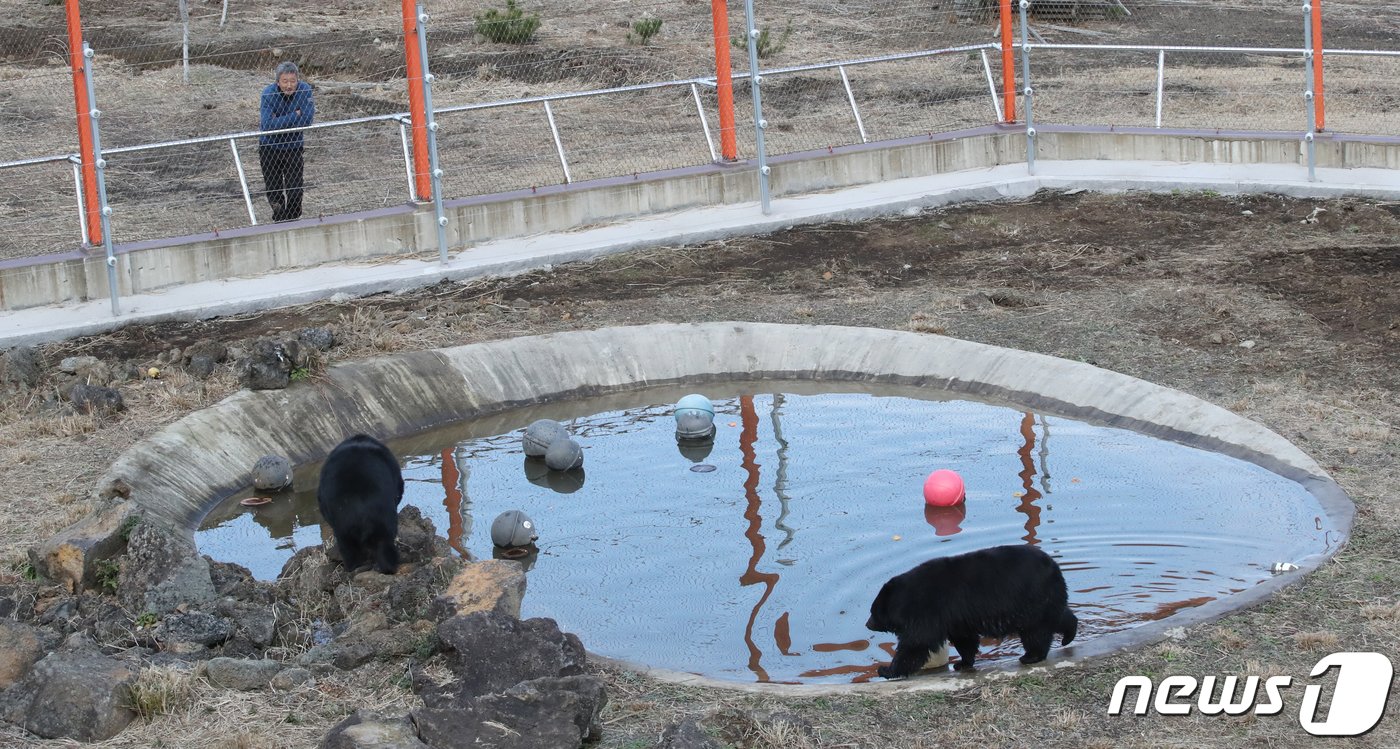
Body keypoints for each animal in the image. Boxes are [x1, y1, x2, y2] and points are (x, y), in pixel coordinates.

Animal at [868, 546, 1075, 680]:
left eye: (873, 611)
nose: (867, 623)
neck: (909, 597)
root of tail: (1055, 566)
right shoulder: (955, 617)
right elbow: (964, 639)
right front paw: (963, 662)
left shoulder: (930, 609)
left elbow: (916, 642)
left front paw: (886, 670)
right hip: (1043, 599)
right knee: (1057, 617)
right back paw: (1068, 636)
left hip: (1031, 600)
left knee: (1036, 631)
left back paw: (1031, 656)